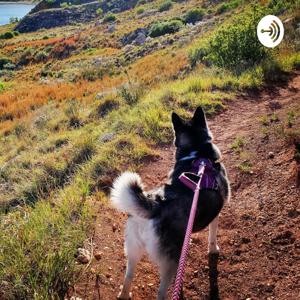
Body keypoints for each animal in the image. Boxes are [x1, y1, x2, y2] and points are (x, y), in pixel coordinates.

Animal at [111, 106, 231, 298]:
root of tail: (155, 205)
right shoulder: (215, 215)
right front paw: (214, 250)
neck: (196, 152)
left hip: (133, 250)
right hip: (170, 261)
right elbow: (212, 238)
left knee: (128, 277)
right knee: (161, 292)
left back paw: (124, 295)